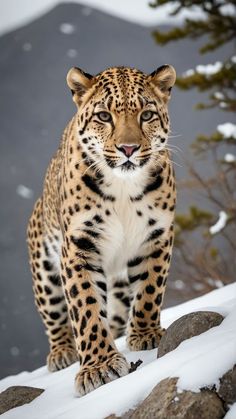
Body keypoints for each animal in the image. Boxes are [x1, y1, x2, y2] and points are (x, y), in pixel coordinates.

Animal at [27, 65, 175, 398]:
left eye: (147, 115)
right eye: (104, 116)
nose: (128, 148)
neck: (123, 186)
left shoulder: (157, 237)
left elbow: (149, 290)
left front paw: (146, 335)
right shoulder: (79, 247)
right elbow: (86, 308)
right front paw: (98, 367)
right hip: (43, 267)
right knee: (54, 315)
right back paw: (62, 353)